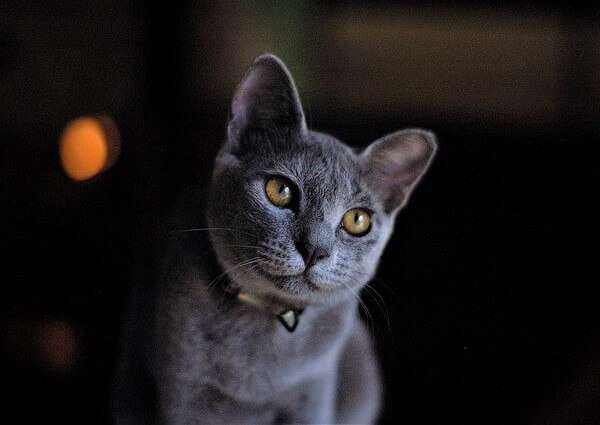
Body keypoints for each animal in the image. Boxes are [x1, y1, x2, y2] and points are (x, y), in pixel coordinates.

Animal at [112, 53, 436, 424]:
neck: (268, 312)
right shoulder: (184, 392)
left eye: (357, 220)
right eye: (280, 190)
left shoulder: (313, 394)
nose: (314, 249)